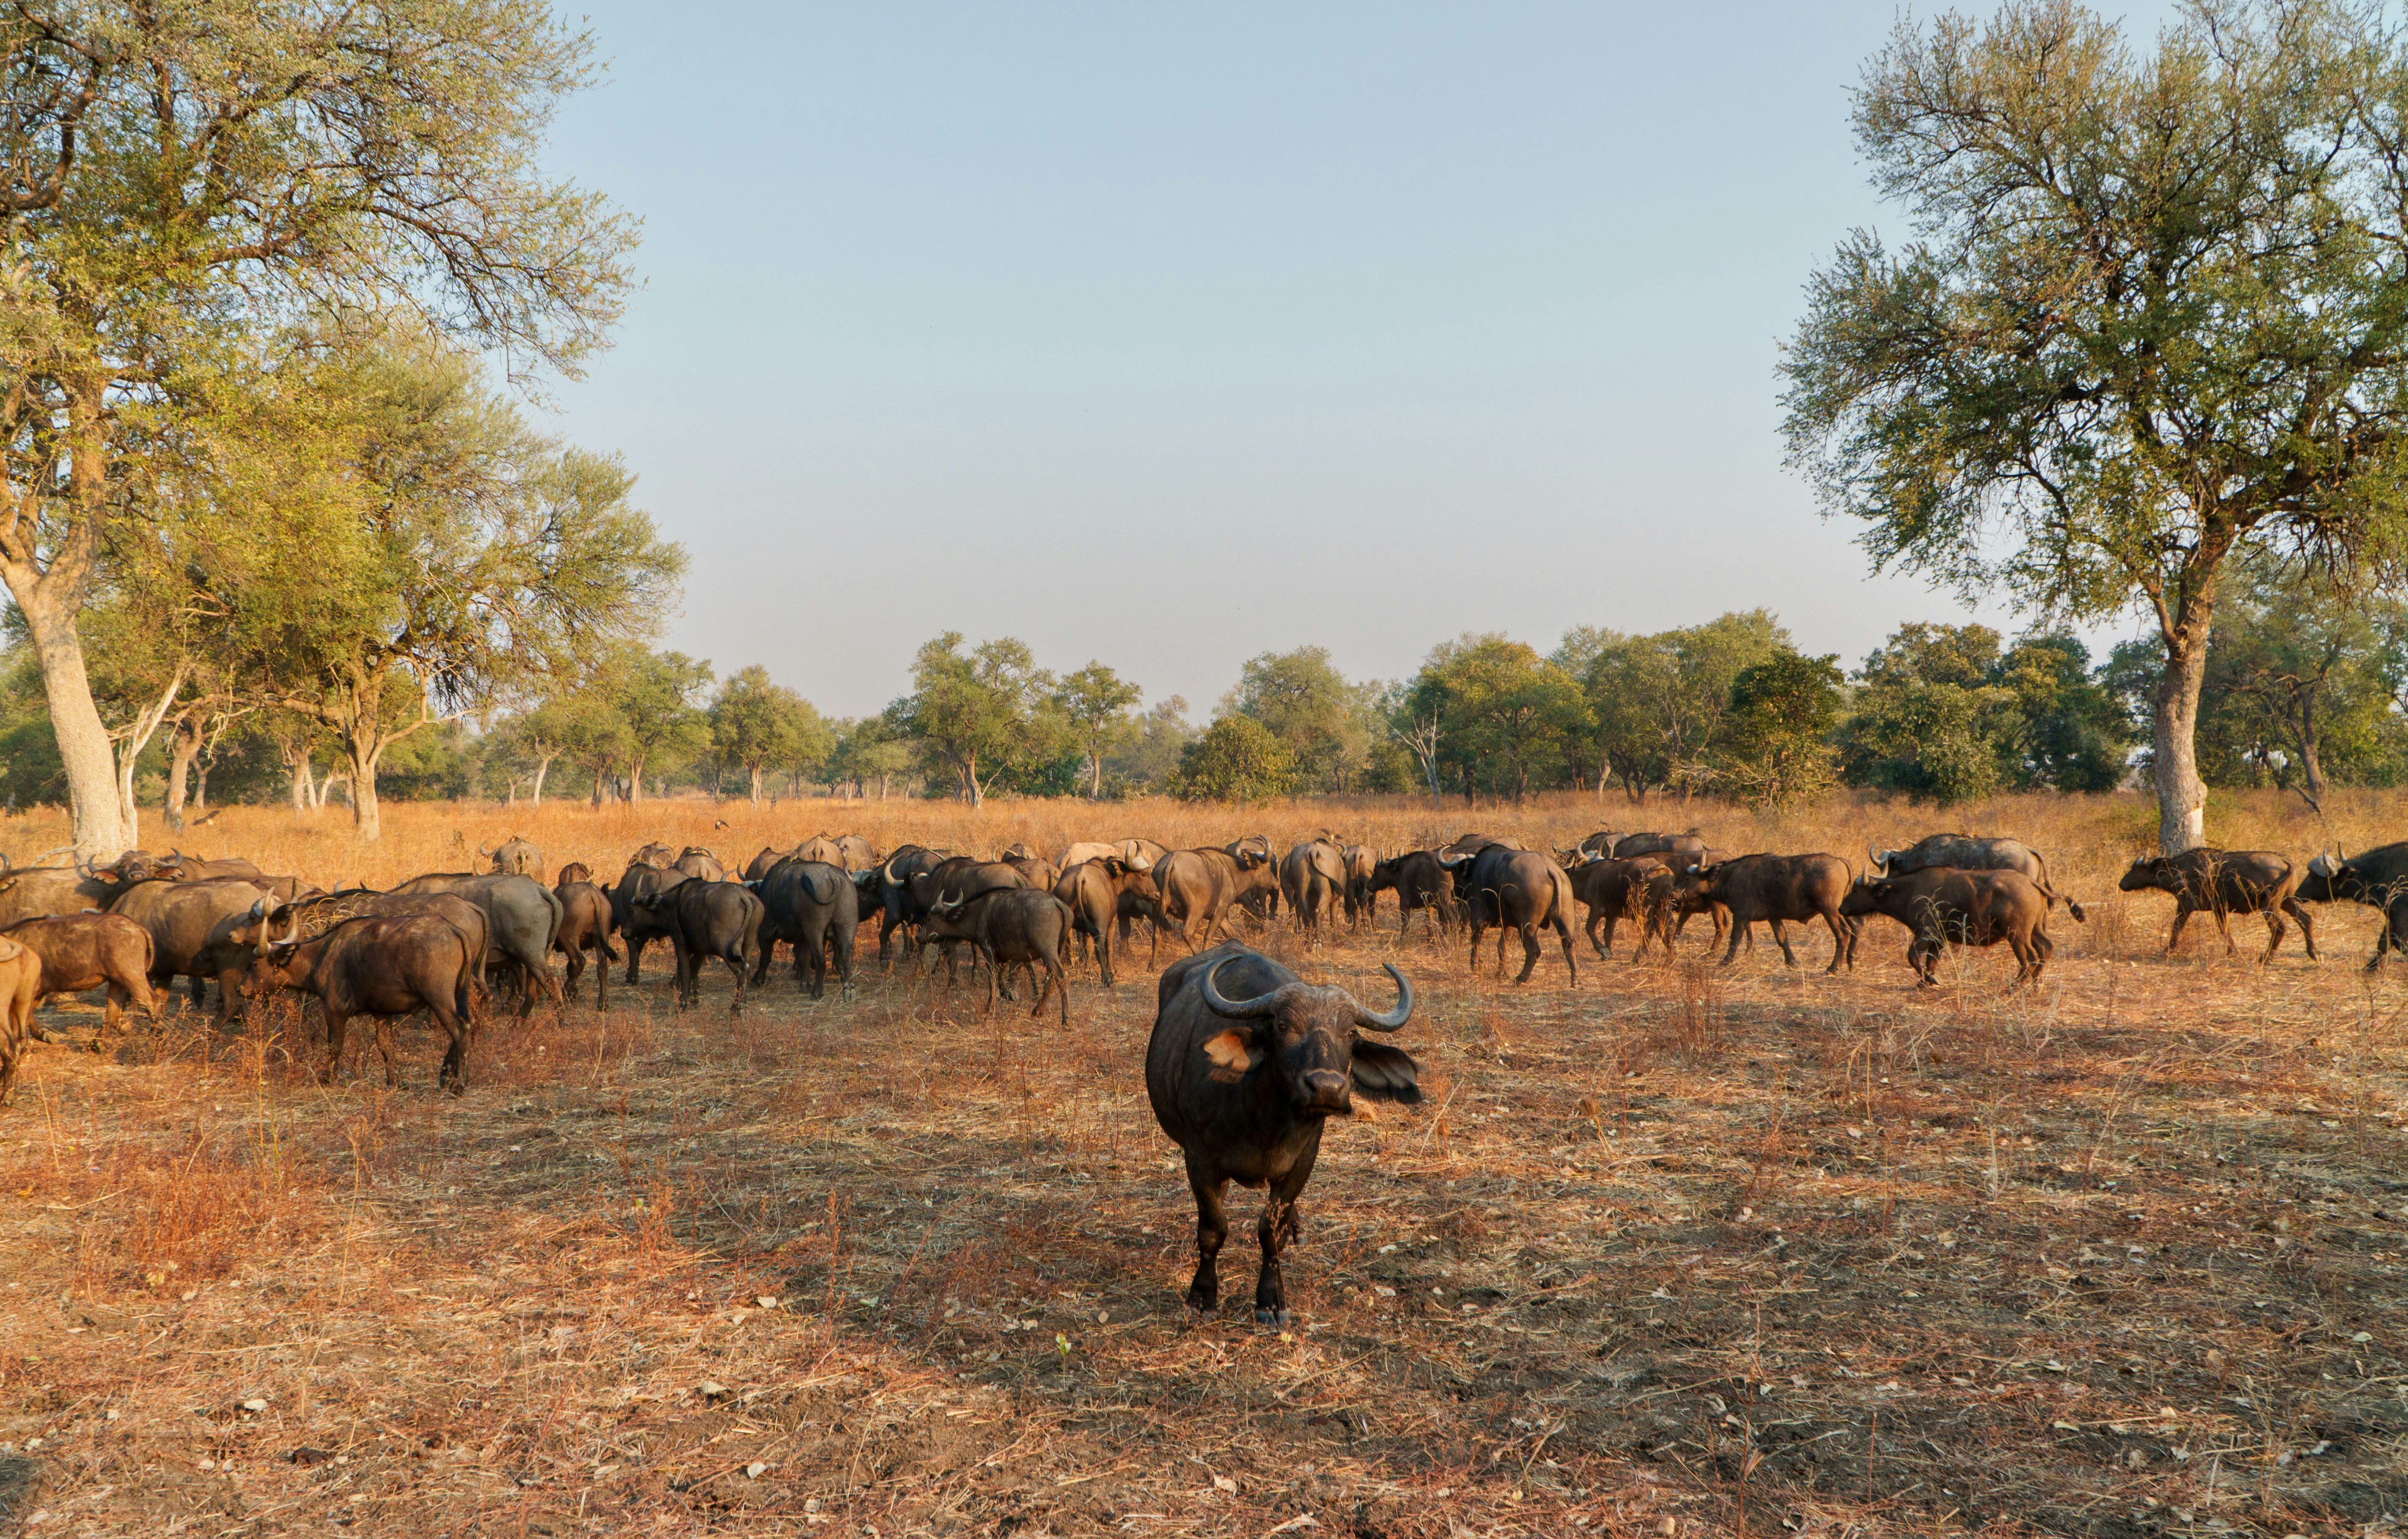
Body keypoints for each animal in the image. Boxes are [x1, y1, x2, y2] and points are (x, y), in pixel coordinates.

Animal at [1146, 944, 1417, 1325]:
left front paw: (1271, 1300)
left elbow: (1270, 1232)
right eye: (1284, 1026)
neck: (1264, 1119)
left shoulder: (1303, 1160)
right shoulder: (1198, 1157)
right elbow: (1214, 1228)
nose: (1326, 1088)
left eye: (1350, 1033)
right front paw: (1202, 1296)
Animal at [1840, 868, 2052, 986]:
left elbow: (1913, 957)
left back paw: (2014, 985)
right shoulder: (1939, 939)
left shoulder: (1926, 933)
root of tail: (2030, 881)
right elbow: (1931, 962)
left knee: (2030, 959)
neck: (1908, 890)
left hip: (2017, 935)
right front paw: (1925, 982)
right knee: (2046, 948)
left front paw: (1929, 980)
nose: (1841, 908)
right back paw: (2034, 982)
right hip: (2035, 930)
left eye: (1856, 890)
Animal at [2118, 849, 2317, 962]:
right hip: (2287, 901)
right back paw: (2313, 953)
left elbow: (2176, 928)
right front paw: (2232, 952)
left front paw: (2168, 951)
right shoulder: (2219, 909)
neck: (2178, 870)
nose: (2121, 884)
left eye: (2134, 869)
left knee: (2279, 927)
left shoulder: (2185, 906)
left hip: (2270, 905)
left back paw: (2267, 958)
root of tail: (2285, 862)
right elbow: (2225, 930)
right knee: (2306, 919)